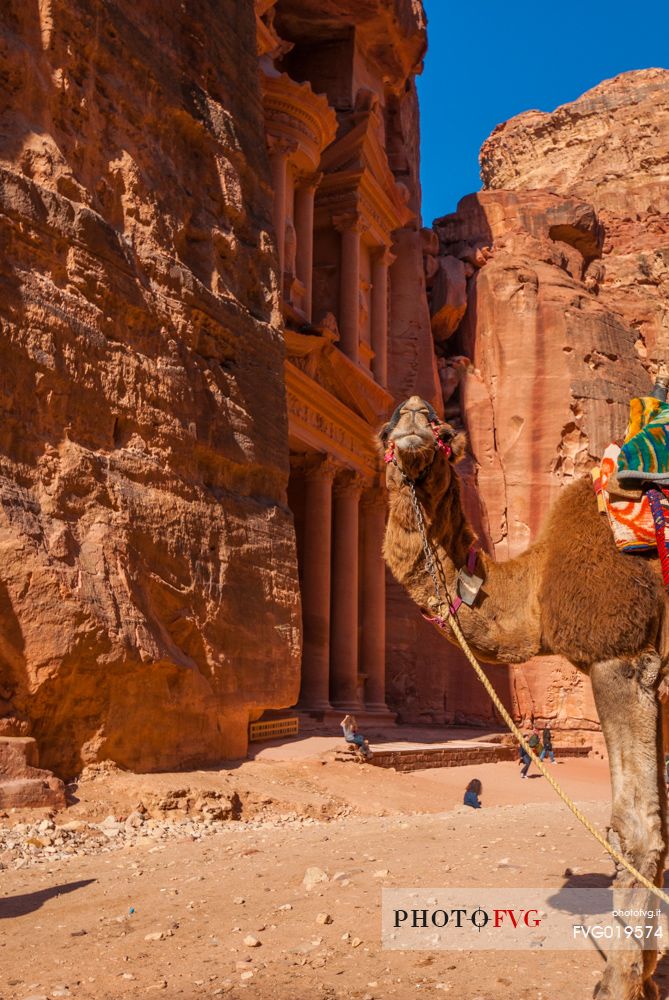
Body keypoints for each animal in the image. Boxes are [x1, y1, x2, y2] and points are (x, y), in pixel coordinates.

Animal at [378, 396, 664, 1000]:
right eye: (387, 426)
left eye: (443, 430)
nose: (413, 418)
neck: (531, 585)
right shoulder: (660, 681)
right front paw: (648, 976)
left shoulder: (621, 655)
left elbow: (637, 828)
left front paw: (619, 983)